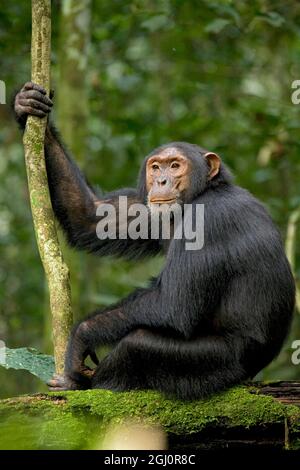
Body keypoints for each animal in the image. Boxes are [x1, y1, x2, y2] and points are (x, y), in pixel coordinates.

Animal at [13, 82, 296, 398]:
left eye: (175, 166)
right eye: (156, 167)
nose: (161, 181)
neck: (200, 194)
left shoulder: (210, 220)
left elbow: (173, 303)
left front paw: (81, 336)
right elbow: (91, 216)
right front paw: (28, 105)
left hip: (216, 366)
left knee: (137, 345)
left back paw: (79, 383)